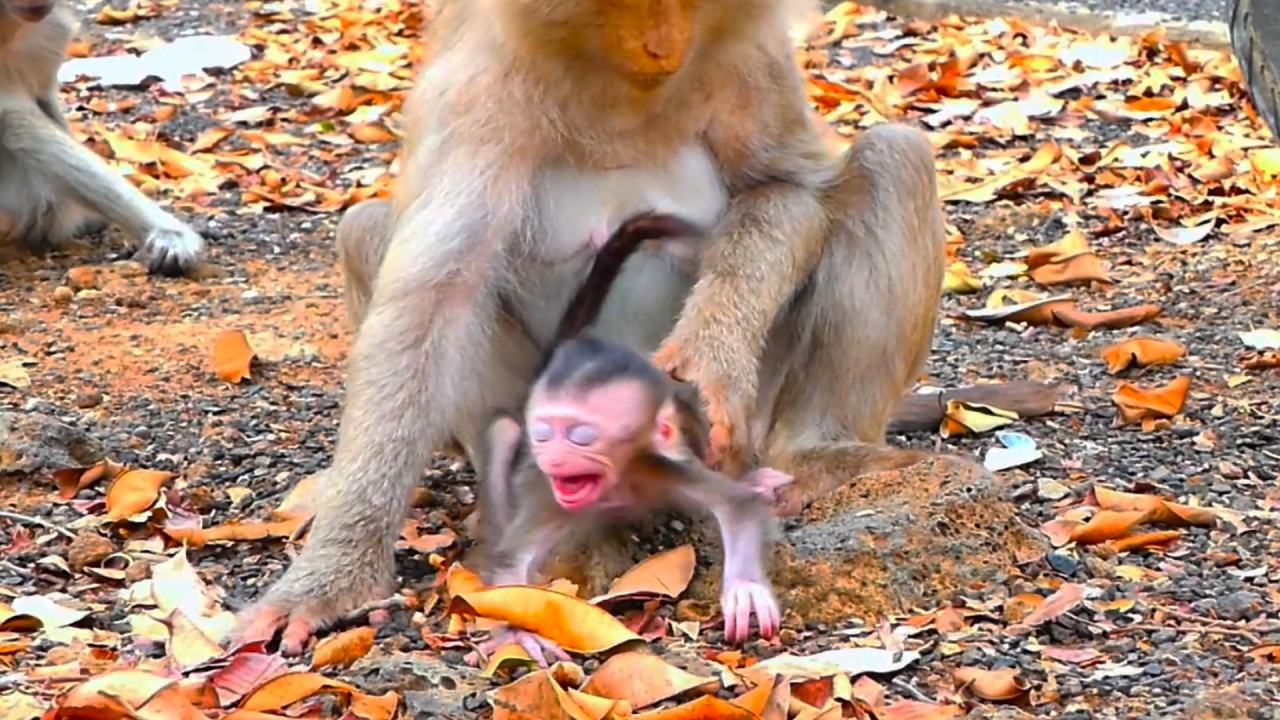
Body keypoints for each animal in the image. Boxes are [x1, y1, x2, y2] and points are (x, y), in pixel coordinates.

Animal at [228, 0, 1057, 655]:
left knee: (894, 155)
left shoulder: (747, 50)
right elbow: (435, 298)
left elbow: (781, 186)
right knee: (373, 234)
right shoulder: (480, 90)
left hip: (757, 419)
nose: (663, 45)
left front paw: (711, 354)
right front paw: (331, 579)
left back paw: (818, 454)